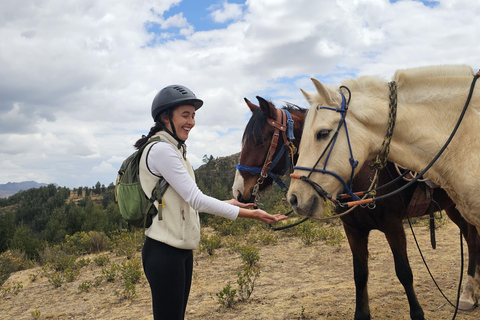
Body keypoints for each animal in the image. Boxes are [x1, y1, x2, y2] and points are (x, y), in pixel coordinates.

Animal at [232, 96, 480, 320]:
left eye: (260, 140)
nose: (238, 192)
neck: (357, 173)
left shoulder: (393, 226)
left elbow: (404, 272)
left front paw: (417, 314)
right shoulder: (353, 229)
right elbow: (360, 274)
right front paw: (362, 314)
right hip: (455, 208)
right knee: (471, 239)